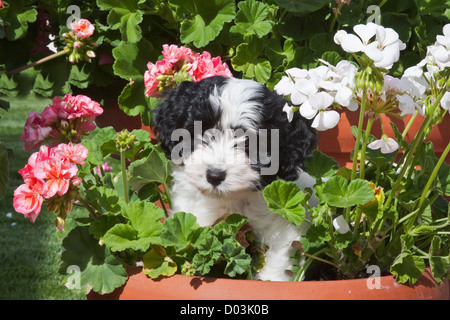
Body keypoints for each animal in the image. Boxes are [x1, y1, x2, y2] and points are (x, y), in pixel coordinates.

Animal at [154, 75, 316, 280]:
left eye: (249, 142)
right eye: (199, 132)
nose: (215, 175)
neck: (231, 200)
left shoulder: (284, 229)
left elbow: (279, 260)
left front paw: (271, 280)